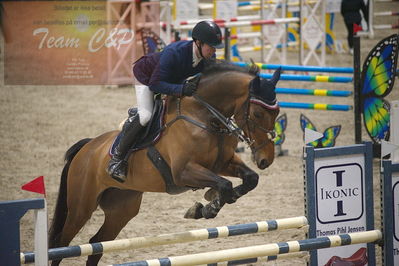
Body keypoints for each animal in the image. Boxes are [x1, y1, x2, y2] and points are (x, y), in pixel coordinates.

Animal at [48, 61, 282, 264]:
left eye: (277, 112)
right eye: (258, 113)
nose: (266, 159)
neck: (205, 116)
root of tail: (87, 147)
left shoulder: (222, 163)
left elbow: (250, 178)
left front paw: (214, 200)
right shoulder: (183, 172)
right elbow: (224, 184)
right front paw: (207, 206)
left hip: (121, 208)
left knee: (96, 244)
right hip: (81, 207)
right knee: (63, 243)